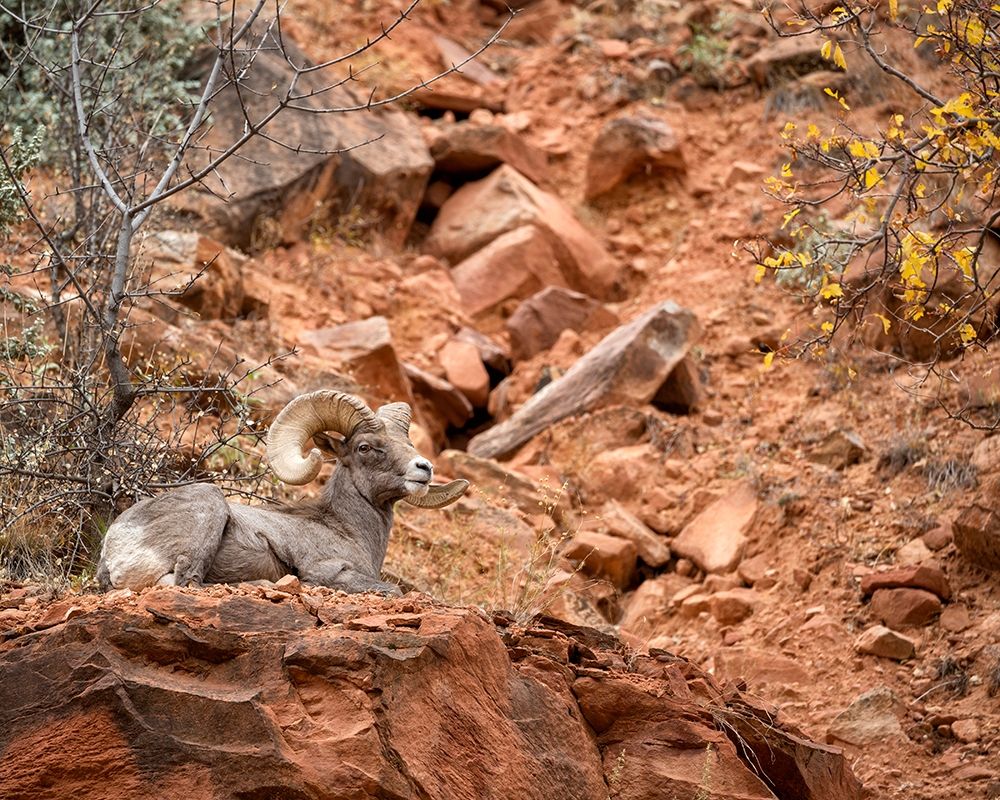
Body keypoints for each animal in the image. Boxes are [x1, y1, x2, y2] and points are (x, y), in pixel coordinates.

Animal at [96, 390, 469, 595]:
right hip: (209, 507)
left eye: (408, 444)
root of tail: (112, 549)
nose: (424, 468)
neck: (348, 528)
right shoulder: (331, 572)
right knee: (187, 581)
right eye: (364, 447)